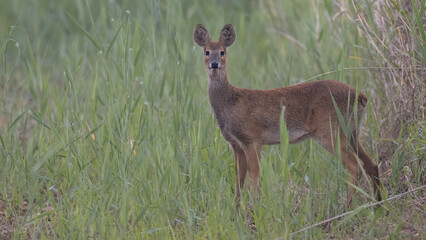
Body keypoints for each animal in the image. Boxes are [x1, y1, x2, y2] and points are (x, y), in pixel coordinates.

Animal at [193, 23, 382, 205]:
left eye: (222, 52)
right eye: (207, 51)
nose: (214, 64)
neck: (230, 102)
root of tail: (362, 96)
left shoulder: (252, 139)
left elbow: (254, 177)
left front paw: (253, 207)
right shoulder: (236, 144)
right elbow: (238, 179)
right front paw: (237, 208)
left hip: (330, 131)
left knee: (355, 166)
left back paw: (348, 206)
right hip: (352, 133)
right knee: (371, 164)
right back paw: (379, 204)